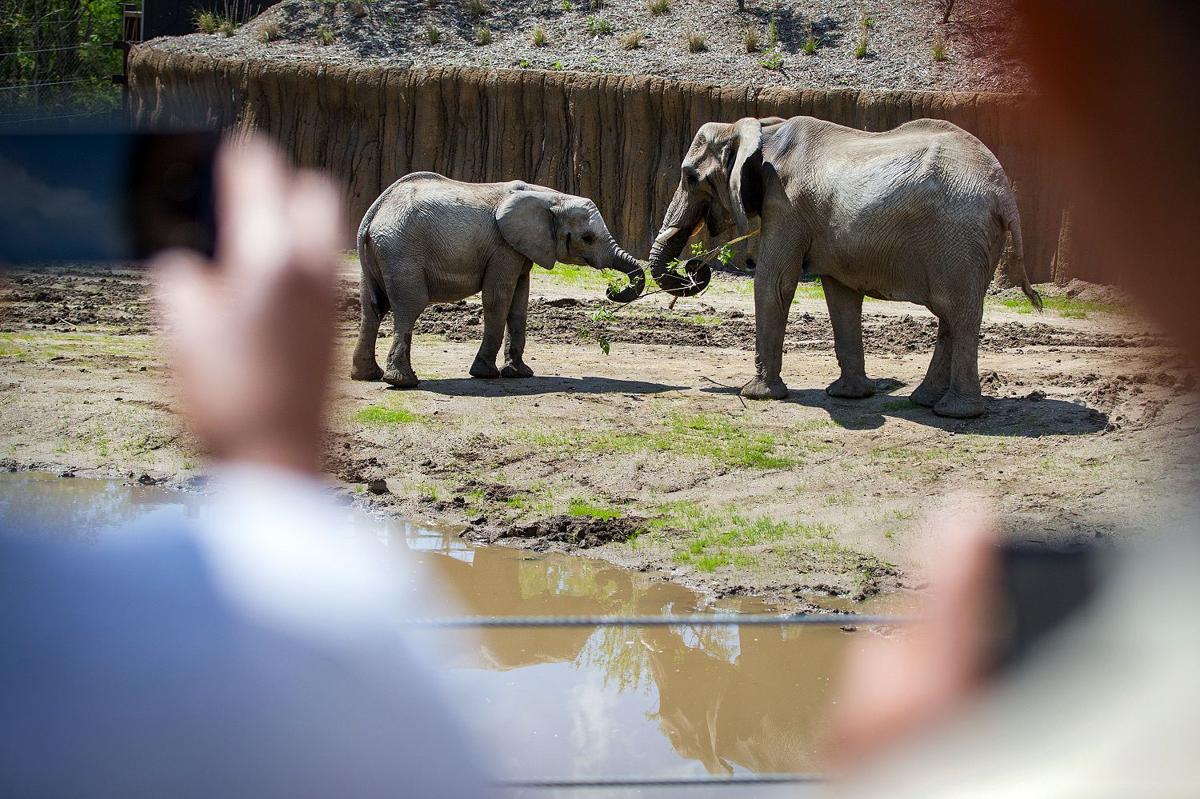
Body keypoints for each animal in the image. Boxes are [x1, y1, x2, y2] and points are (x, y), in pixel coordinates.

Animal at [350, 172, 648, 386]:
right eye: (587, 238)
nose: (610, 289)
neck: (550, 196)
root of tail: (373, 216)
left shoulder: (522, 248)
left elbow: (520, 301)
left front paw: (520, 373)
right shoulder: (503, 246)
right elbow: (499, 297)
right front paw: (486, 374)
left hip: (376, 255)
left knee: (372, 308)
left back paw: (367, 376)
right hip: (401, 251)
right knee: (409, 306)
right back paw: (403, 382)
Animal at [648, 118, 1041, 419]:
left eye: (690, 177)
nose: (695, 267)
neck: (760, 129)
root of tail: (1003, 190)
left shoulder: (786, 206)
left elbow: (774, 284)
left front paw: (758, 394)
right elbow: (840, 297)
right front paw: (848, 395)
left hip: (958, 235)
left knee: (958, 311)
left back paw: (956, 414)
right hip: (974, 241)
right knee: (951, 315)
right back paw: (923, 401)